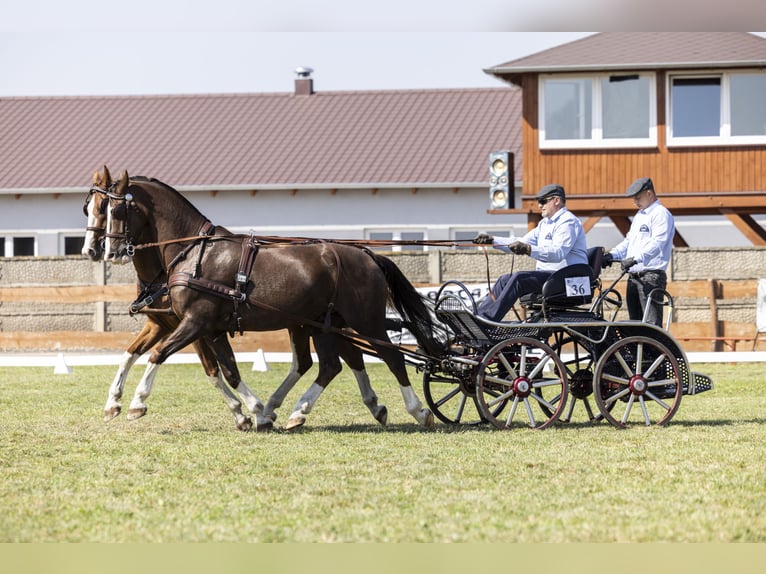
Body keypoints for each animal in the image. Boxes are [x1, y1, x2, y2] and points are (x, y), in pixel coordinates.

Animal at [100, 169, 444, 430]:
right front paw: (255, 411)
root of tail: (366, 254)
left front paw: (137, 403)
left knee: (391, 357)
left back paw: (419, 410)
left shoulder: (196, 322)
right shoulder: (212, 328)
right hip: (324, 324)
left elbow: (159, 354)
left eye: (116, 210)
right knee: (332, 364)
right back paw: (300, 411)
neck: (195, 252)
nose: (109, 253)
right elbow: (228, 371)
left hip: (366, 321)